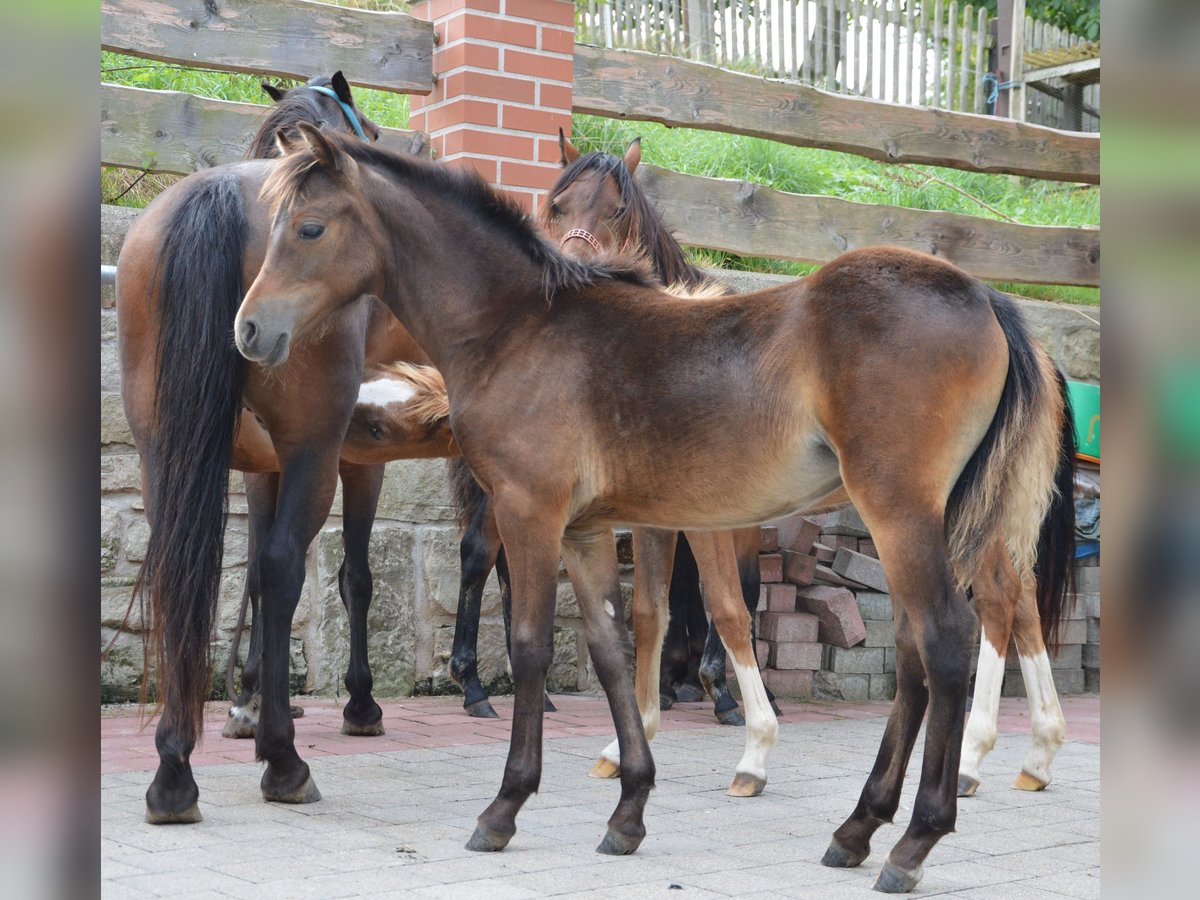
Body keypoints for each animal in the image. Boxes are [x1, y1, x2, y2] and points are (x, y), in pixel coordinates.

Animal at [544, 132, 1080, 796]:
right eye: (556, 205)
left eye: (617, 210)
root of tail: (989, 298)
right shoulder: (654, 518)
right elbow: (650, 612)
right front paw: (629, 743)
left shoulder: (708, 521)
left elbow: (729, 607)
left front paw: (753, 747)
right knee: (1021, 598)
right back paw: (1035, 755)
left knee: (996, 601)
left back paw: (973, 757)